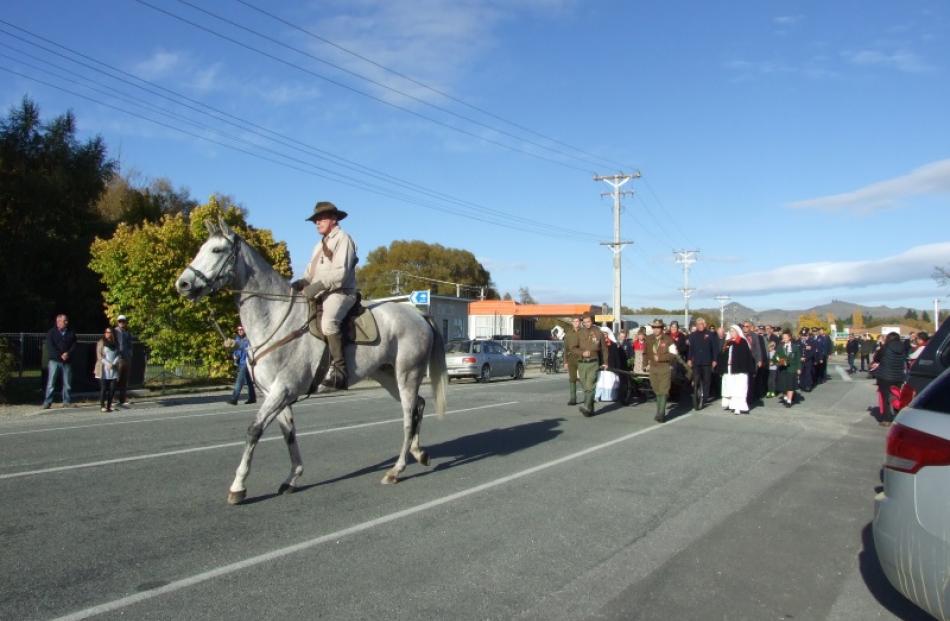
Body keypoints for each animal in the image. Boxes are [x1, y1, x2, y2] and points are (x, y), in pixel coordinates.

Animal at [177, 218, 448, 504]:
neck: (276, 319)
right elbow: (289, 434)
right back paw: (420, 453)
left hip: (408, 374)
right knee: (418, 406)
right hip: (387, 376)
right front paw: (292, 477)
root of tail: (417, 314)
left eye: (217, 250)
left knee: (408, 417)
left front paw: (238, 486)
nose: (182, 284)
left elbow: (254, 430)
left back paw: (396, 470)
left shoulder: (281, 390)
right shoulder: (275, 394)